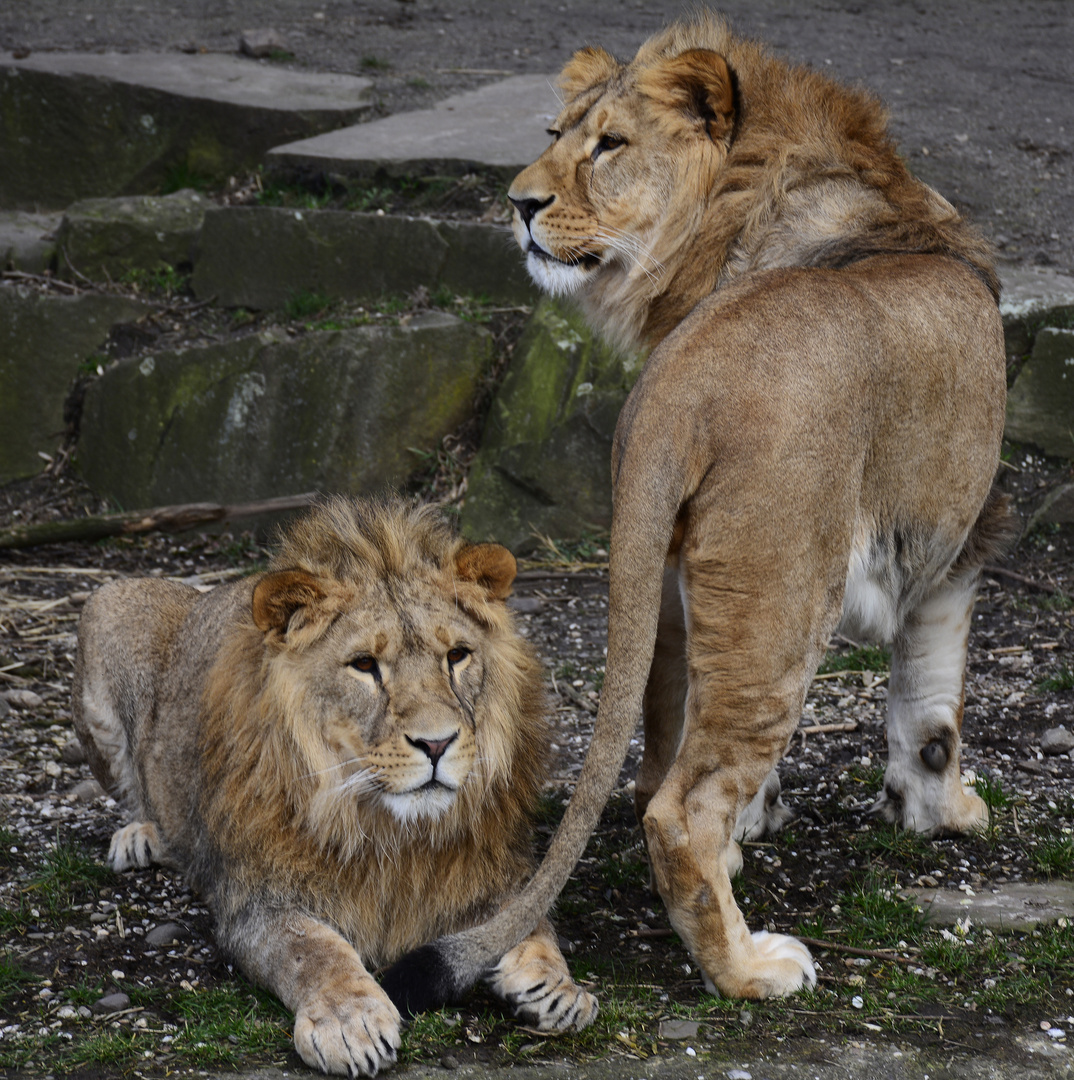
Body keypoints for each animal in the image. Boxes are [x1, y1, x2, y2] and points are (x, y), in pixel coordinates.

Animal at [72, 494, 600, 1071]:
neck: (394, 827)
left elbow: (530, 915)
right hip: (106, 607)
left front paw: (556, 987)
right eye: (364, 665)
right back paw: (141, 837)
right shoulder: (256, 900)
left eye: (457, 656)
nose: (437, 744)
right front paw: (352, 1022)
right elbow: (313, 948)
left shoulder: (497, 867)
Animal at [380, 10, 1015, 1010]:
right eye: (554, 135)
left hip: (679, 566)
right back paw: (752, 968)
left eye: (605, 145)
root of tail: (686, 379)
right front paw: (944, 813)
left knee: (656, 761)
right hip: (786, 598)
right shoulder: (962, 531)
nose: (518, 204)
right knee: (680, 807)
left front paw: (769, 826)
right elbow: (934, 703)